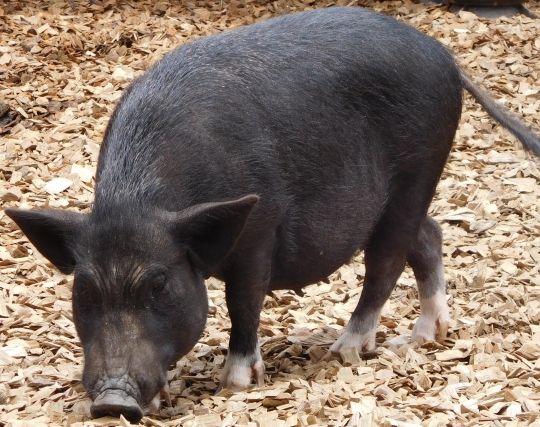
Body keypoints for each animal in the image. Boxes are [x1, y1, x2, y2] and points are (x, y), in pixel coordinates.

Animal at [5, 6, 540, 424]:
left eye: (159, 285)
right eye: (84, 290)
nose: (112, 401)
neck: (139, 201)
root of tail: (444, 55)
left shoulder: (260, 230)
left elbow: (244, 301)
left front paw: (237, 381)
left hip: (416, 173)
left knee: (386, 262)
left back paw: (347, 349)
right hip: (406, 198)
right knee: (428, 236)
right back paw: (426, 335)